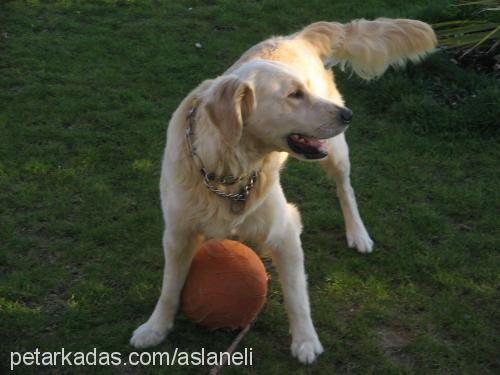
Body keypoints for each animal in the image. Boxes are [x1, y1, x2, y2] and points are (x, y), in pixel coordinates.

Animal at [131, 18, 436, 364]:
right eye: (294, 95)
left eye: (305, 91)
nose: (348, 116)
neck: (226, 172)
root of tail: (298, 36)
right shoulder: (178, 234)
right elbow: (169, 288)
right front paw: (155, 328)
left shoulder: (285, 230)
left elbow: (295, 295)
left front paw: (306, 341)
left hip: (335, 154)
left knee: (345, 190)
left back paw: (358, 234)